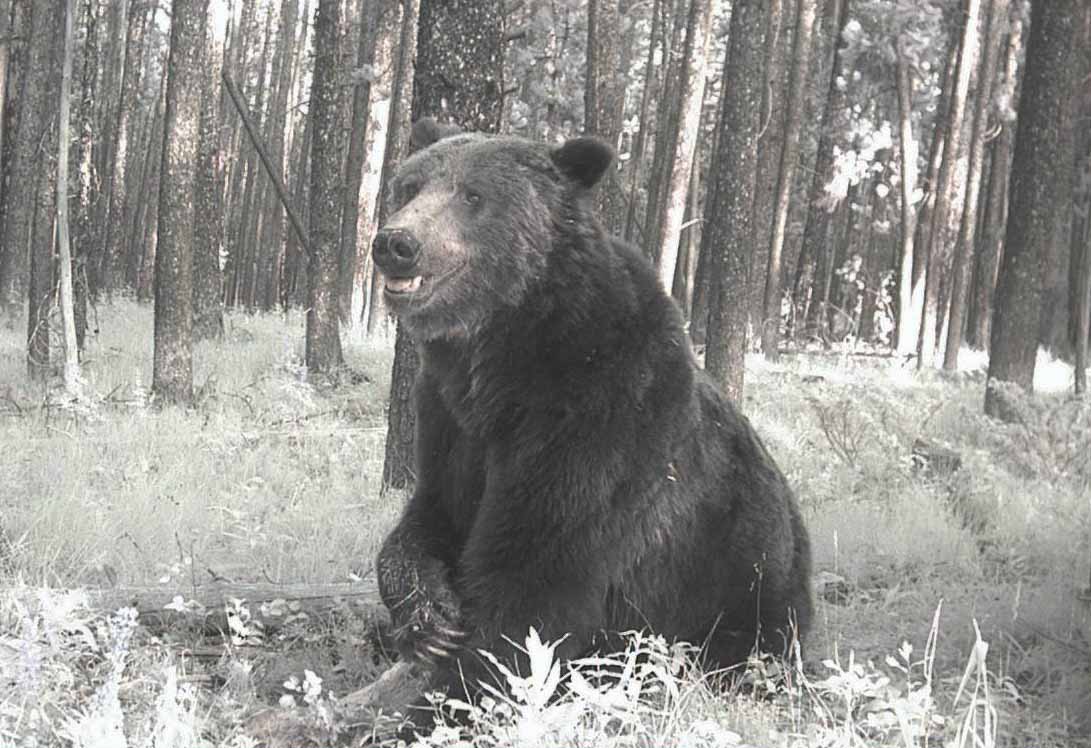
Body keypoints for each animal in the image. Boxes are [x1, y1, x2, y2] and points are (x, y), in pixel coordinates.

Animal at [371, 119, 812, 730]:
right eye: (410, 186)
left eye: (473, 196)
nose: (396, 244)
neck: (504, 354)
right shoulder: (449, 420)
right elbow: (429, 517)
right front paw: (427, 617)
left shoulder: (600, 416)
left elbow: (534, 582)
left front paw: (447, 707)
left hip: (741, 575)